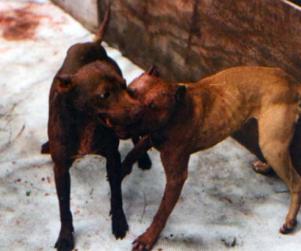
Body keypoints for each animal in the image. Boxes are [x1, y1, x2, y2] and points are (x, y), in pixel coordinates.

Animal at [43, 6, 151, 251]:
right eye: (104, 95)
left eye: (124, 86)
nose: (140, 110)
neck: (86, 125)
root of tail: (92, 43)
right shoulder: (60, 168)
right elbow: (64, 207)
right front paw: (65, 236)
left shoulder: (112, 157)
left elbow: (116, 194)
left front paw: (119, 221)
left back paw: (143, 158)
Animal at [109, 66, 300, 251]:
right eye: (130, 92)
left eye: (152, 106)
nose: (116, 120)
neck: (176, 113)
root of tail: (292, 82)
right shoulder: (148, 138)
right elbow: (131, 155)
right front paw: (117, 176)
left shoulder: (176, 178)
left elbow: (162, 212)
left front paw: (148, 237)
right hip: (270, 142)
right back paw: (266, 167)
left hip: (273, 144)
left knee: (296, 181)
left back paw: (289, 221)